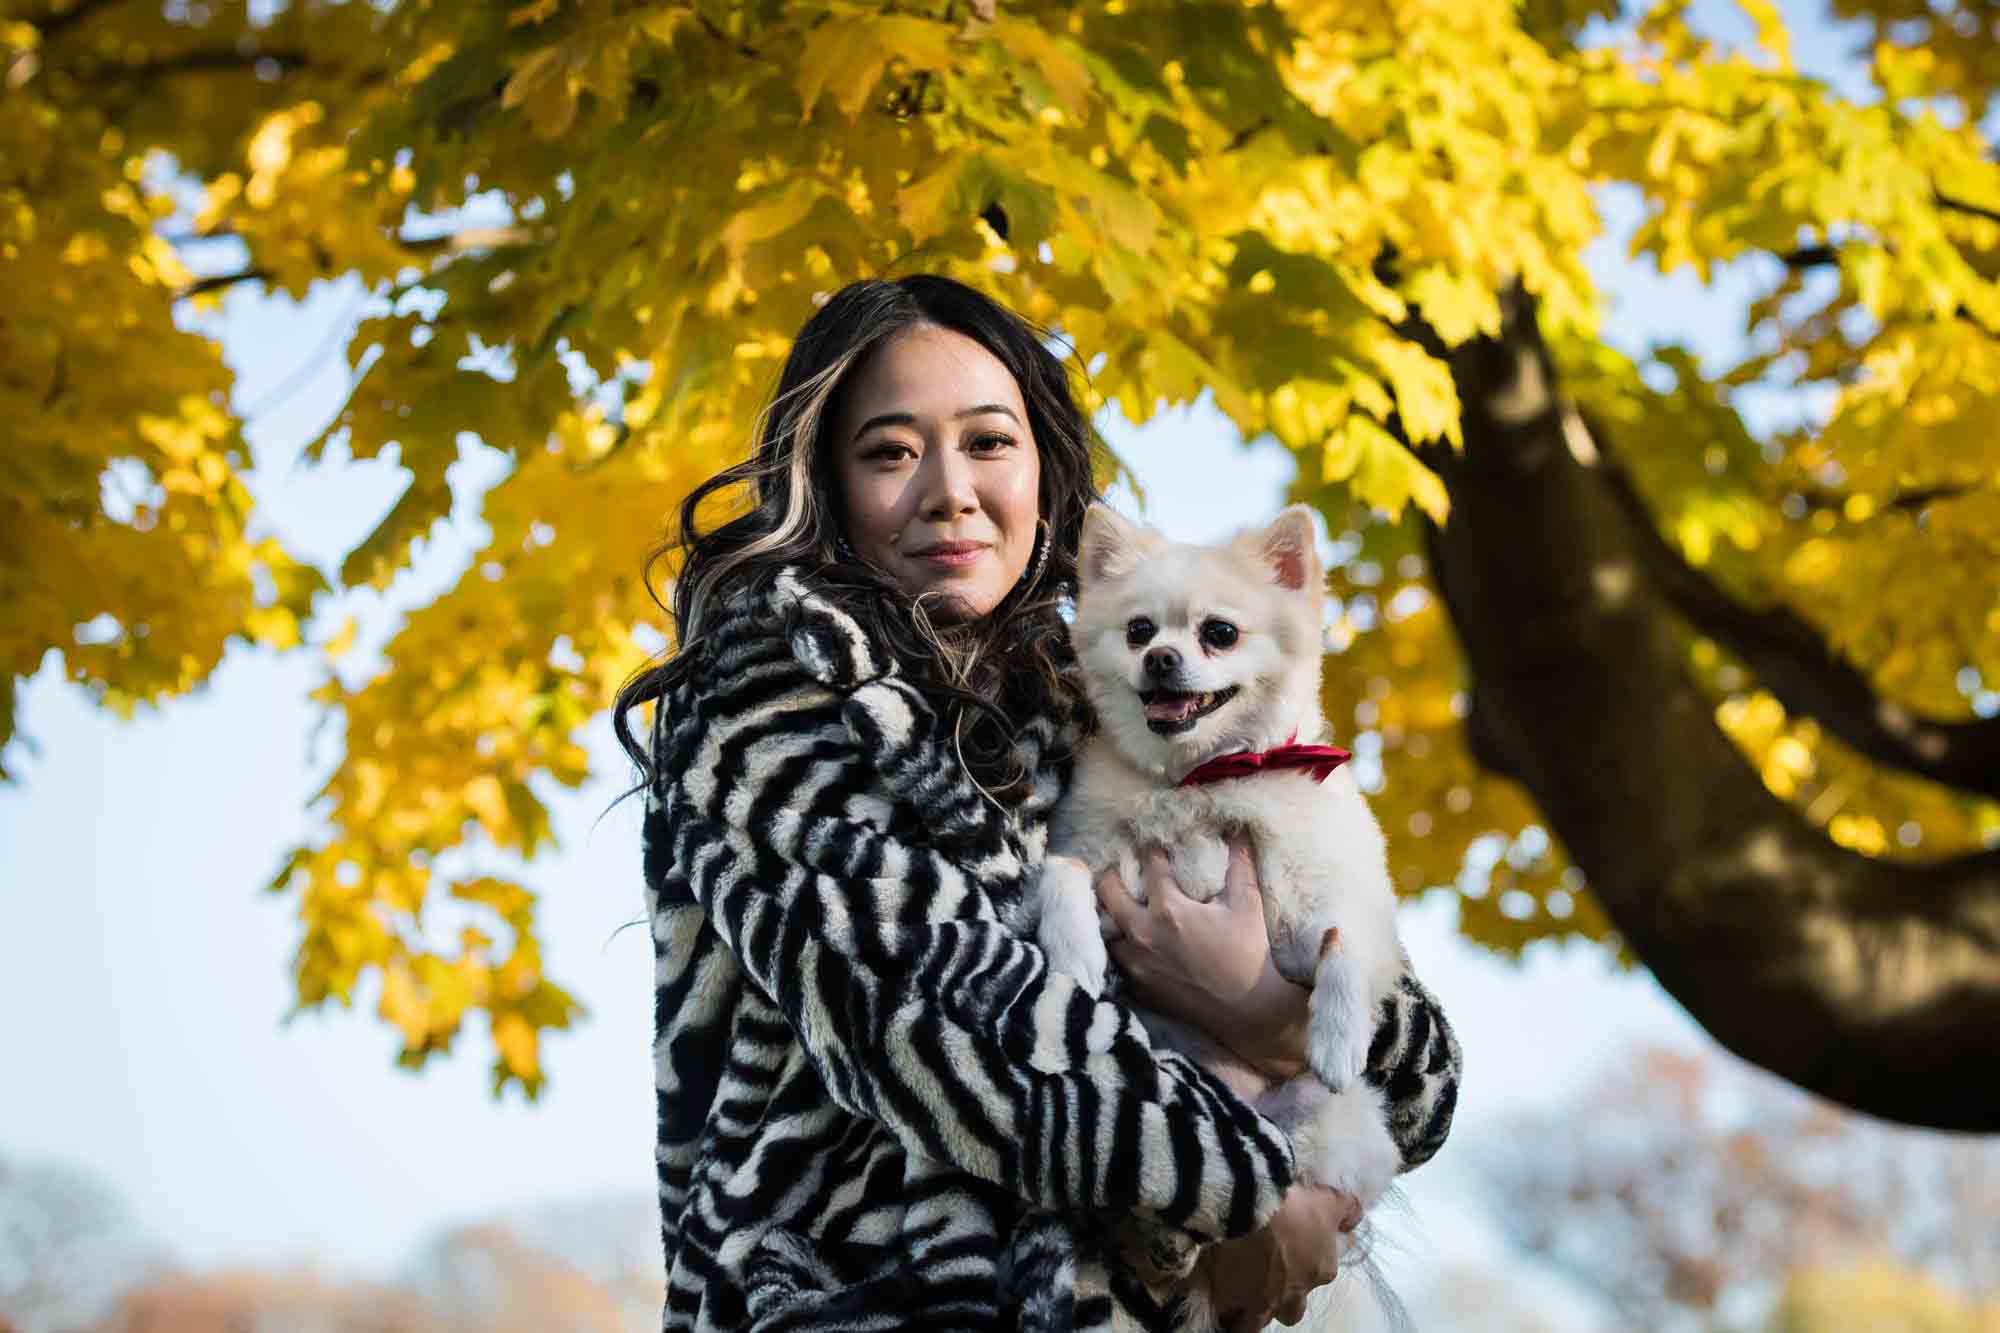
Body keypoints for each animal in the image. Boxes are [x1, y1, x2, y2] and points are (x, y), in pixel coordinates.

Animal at [1048, 504, 1408, 1312]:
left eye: (1219, 632)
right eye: (1139, 630)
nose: (1161, 659)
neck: (1204, 780)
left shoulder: (1315, 923)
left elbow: (1344, 944)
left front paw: (1338, 1036)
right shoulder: (1101, 864)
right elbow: (1060, 872)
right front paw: (1073, 949)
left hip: (1323, 1127)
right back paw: (1161, 1239)